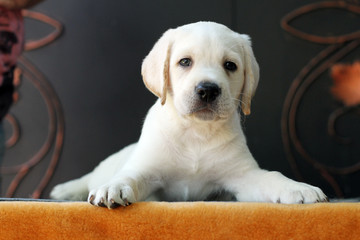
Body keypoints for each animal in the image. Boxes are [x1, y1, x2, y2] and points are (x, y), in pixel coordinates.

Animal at [49, 21, 328, 207]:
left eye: (230, 65)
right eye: (185, 62)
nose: (208, 90)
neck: (196, 132)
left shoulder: (243, 175)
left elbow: (272, 176)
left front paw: (297, 187)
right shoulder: (145, 169)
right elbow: (127, 176)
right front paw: (112, 189)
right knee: (91, 177)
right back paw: (65, 190)